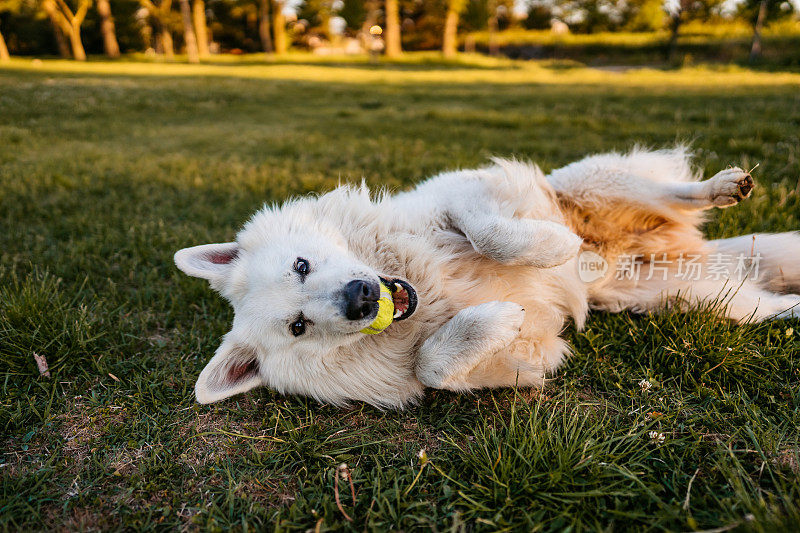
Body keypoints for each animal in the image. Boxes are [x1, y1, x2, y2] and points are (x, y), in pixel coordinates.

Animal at [175, 149, 800, 408]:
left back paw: (722, 187)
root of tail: (681, 243)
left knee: (674, 189)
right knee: (763, 305)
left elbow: (493, 233)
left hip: (599, 183)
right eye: (299, 327)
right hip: (696, 301)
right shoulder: (524, 355)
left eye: (301, 265)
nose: (360, 298)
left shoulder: (464, 191)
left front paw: (558, 249)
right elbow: (432, 366)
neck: (422, 288)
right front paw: (493, 320)